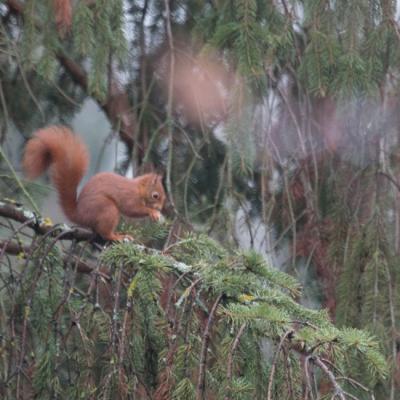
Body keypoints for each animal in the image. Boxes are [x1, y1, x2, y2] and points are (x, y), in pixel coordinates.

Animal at [22, 126, 166, 241]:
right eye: (155, 195)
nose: (160, 208)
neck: (138, 188)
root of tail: (80, 215)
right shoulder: (129, 195)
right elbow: (132, 209)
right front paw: (152, 212)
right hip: (107, 209)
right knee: (105, 233)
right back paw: (117, 236)